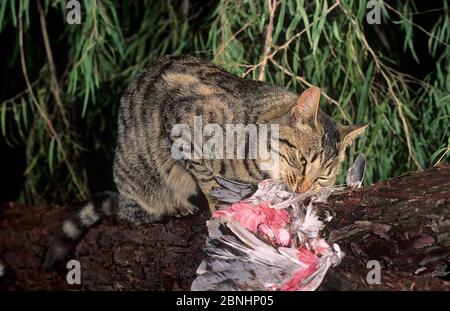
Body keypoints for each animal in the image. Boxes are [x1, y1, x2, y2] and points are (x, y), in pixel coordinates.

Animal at [43, 55, 366, 268]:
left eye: (323, 177)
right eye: (302, 159)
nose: (302, 189)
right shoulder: (180, 124)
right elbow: (206, 175)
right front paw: (220, 202)